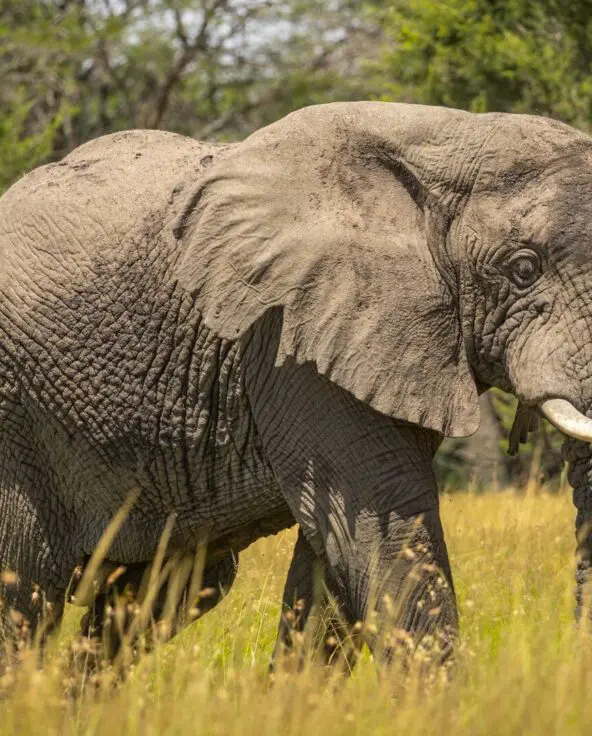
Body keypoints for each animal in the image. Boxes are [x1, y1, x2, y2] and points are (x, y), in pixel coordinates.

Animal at [1, 101, 592, 667]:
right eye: (523, 268)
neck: (451, 142)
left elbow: (332, 565)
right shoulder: (292, 335)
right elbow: (381, 537)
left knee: (165, 590)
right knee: (25, 593)